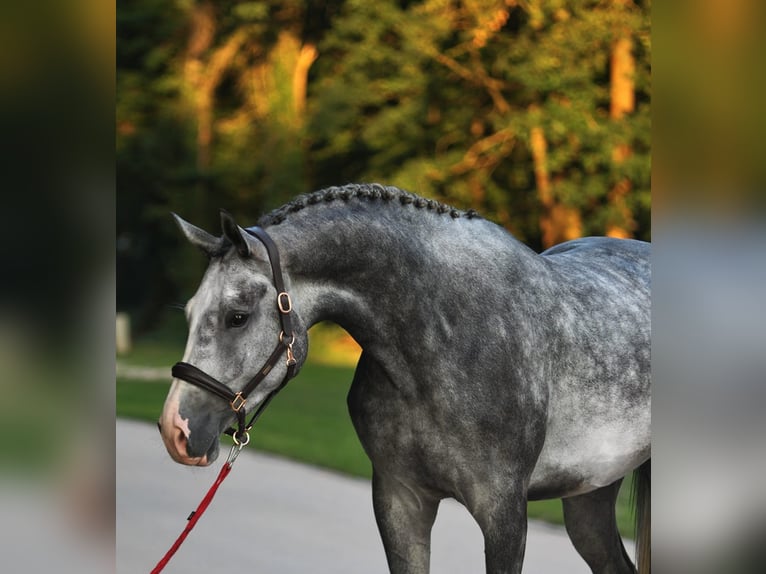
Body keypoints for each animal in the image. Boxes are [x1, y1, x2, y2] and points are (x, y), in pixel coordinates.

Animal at [159, 186, 652, 574]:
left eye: (237, 316)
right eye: (189, 313)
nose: (175, 430)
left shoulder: (505, 515)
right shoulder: (399, 501)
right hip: (589, 496)